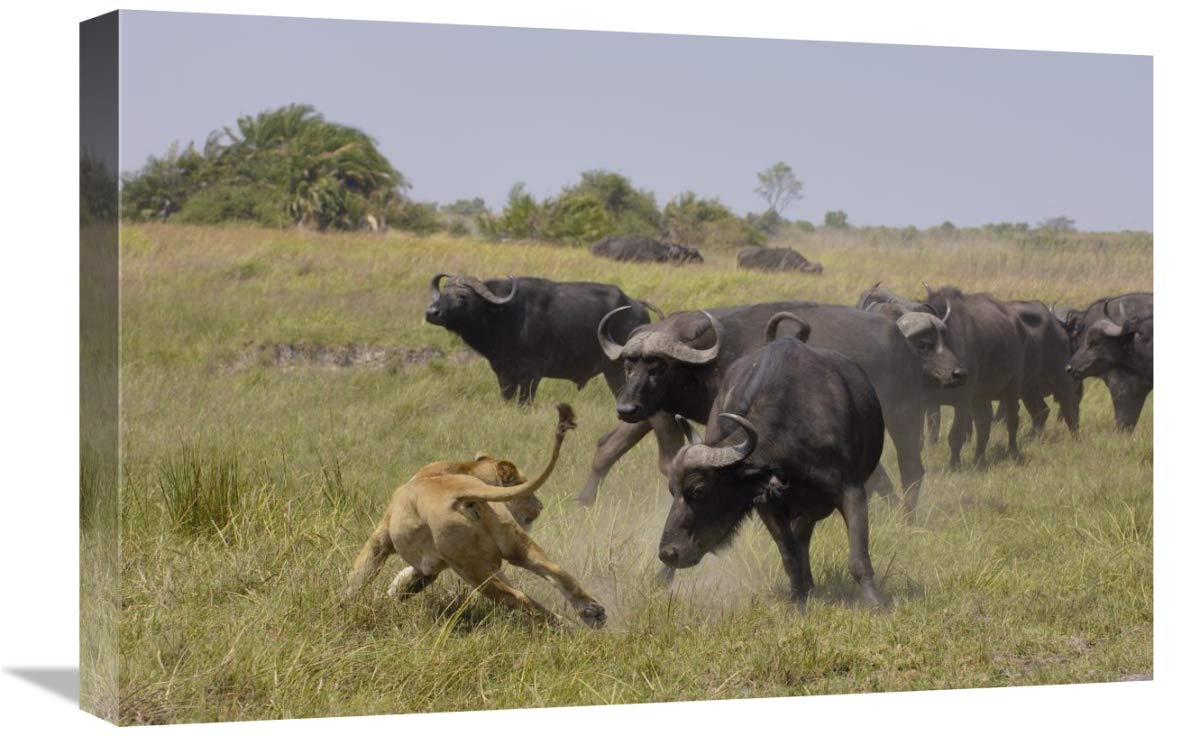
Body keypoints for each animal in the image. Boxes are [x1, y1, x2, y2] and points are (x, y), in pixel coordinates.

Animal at [425, 274, 661, 404]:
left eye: (462, 296)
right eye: (442, 294)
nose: (431, 312)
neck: (505, 315)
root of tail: (637, 305)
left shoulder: (531, 374)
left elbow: (524, 402)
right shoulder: (503, 372)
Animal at [584, 301, 937, 520]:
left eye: (658, 366)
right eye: (629, 365)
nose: (626, 407)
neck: (713, 360)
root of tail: (903, 343)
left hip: (906, 417)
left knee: (911, 470)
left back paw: (906, 517)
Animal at [659, 316, 886, 606]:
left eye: (698, 489)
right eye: (671, 490)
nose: (668, 553)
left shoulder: (852, 489)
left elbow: (858, 556)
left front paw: (875, 602)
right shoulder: (766, 503)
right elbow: (789, 556)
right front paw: (798, 601)